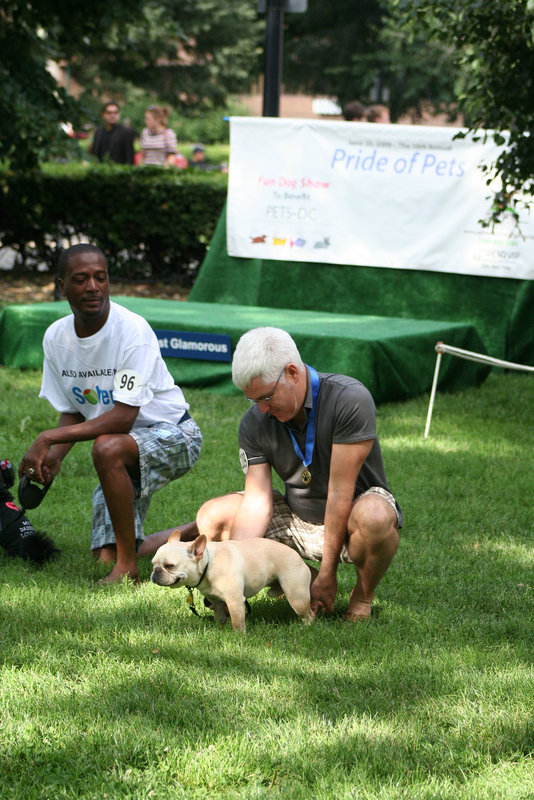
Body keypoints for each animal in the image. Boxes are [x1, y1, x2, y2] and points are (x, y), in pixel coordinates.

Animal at [151, 528, 316, 636]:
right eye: (153, 564)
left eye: (169, 566)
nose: (155, 572)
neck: (208, 564)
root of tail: (301, 560)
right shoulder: (216, 603)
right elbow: (219, 617)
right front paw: (219, 629)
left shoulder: (235, 601)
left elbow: (237, 622)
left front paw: (238, 637)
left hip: (296, 597)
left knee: (309, 614)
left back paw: (305, 628)